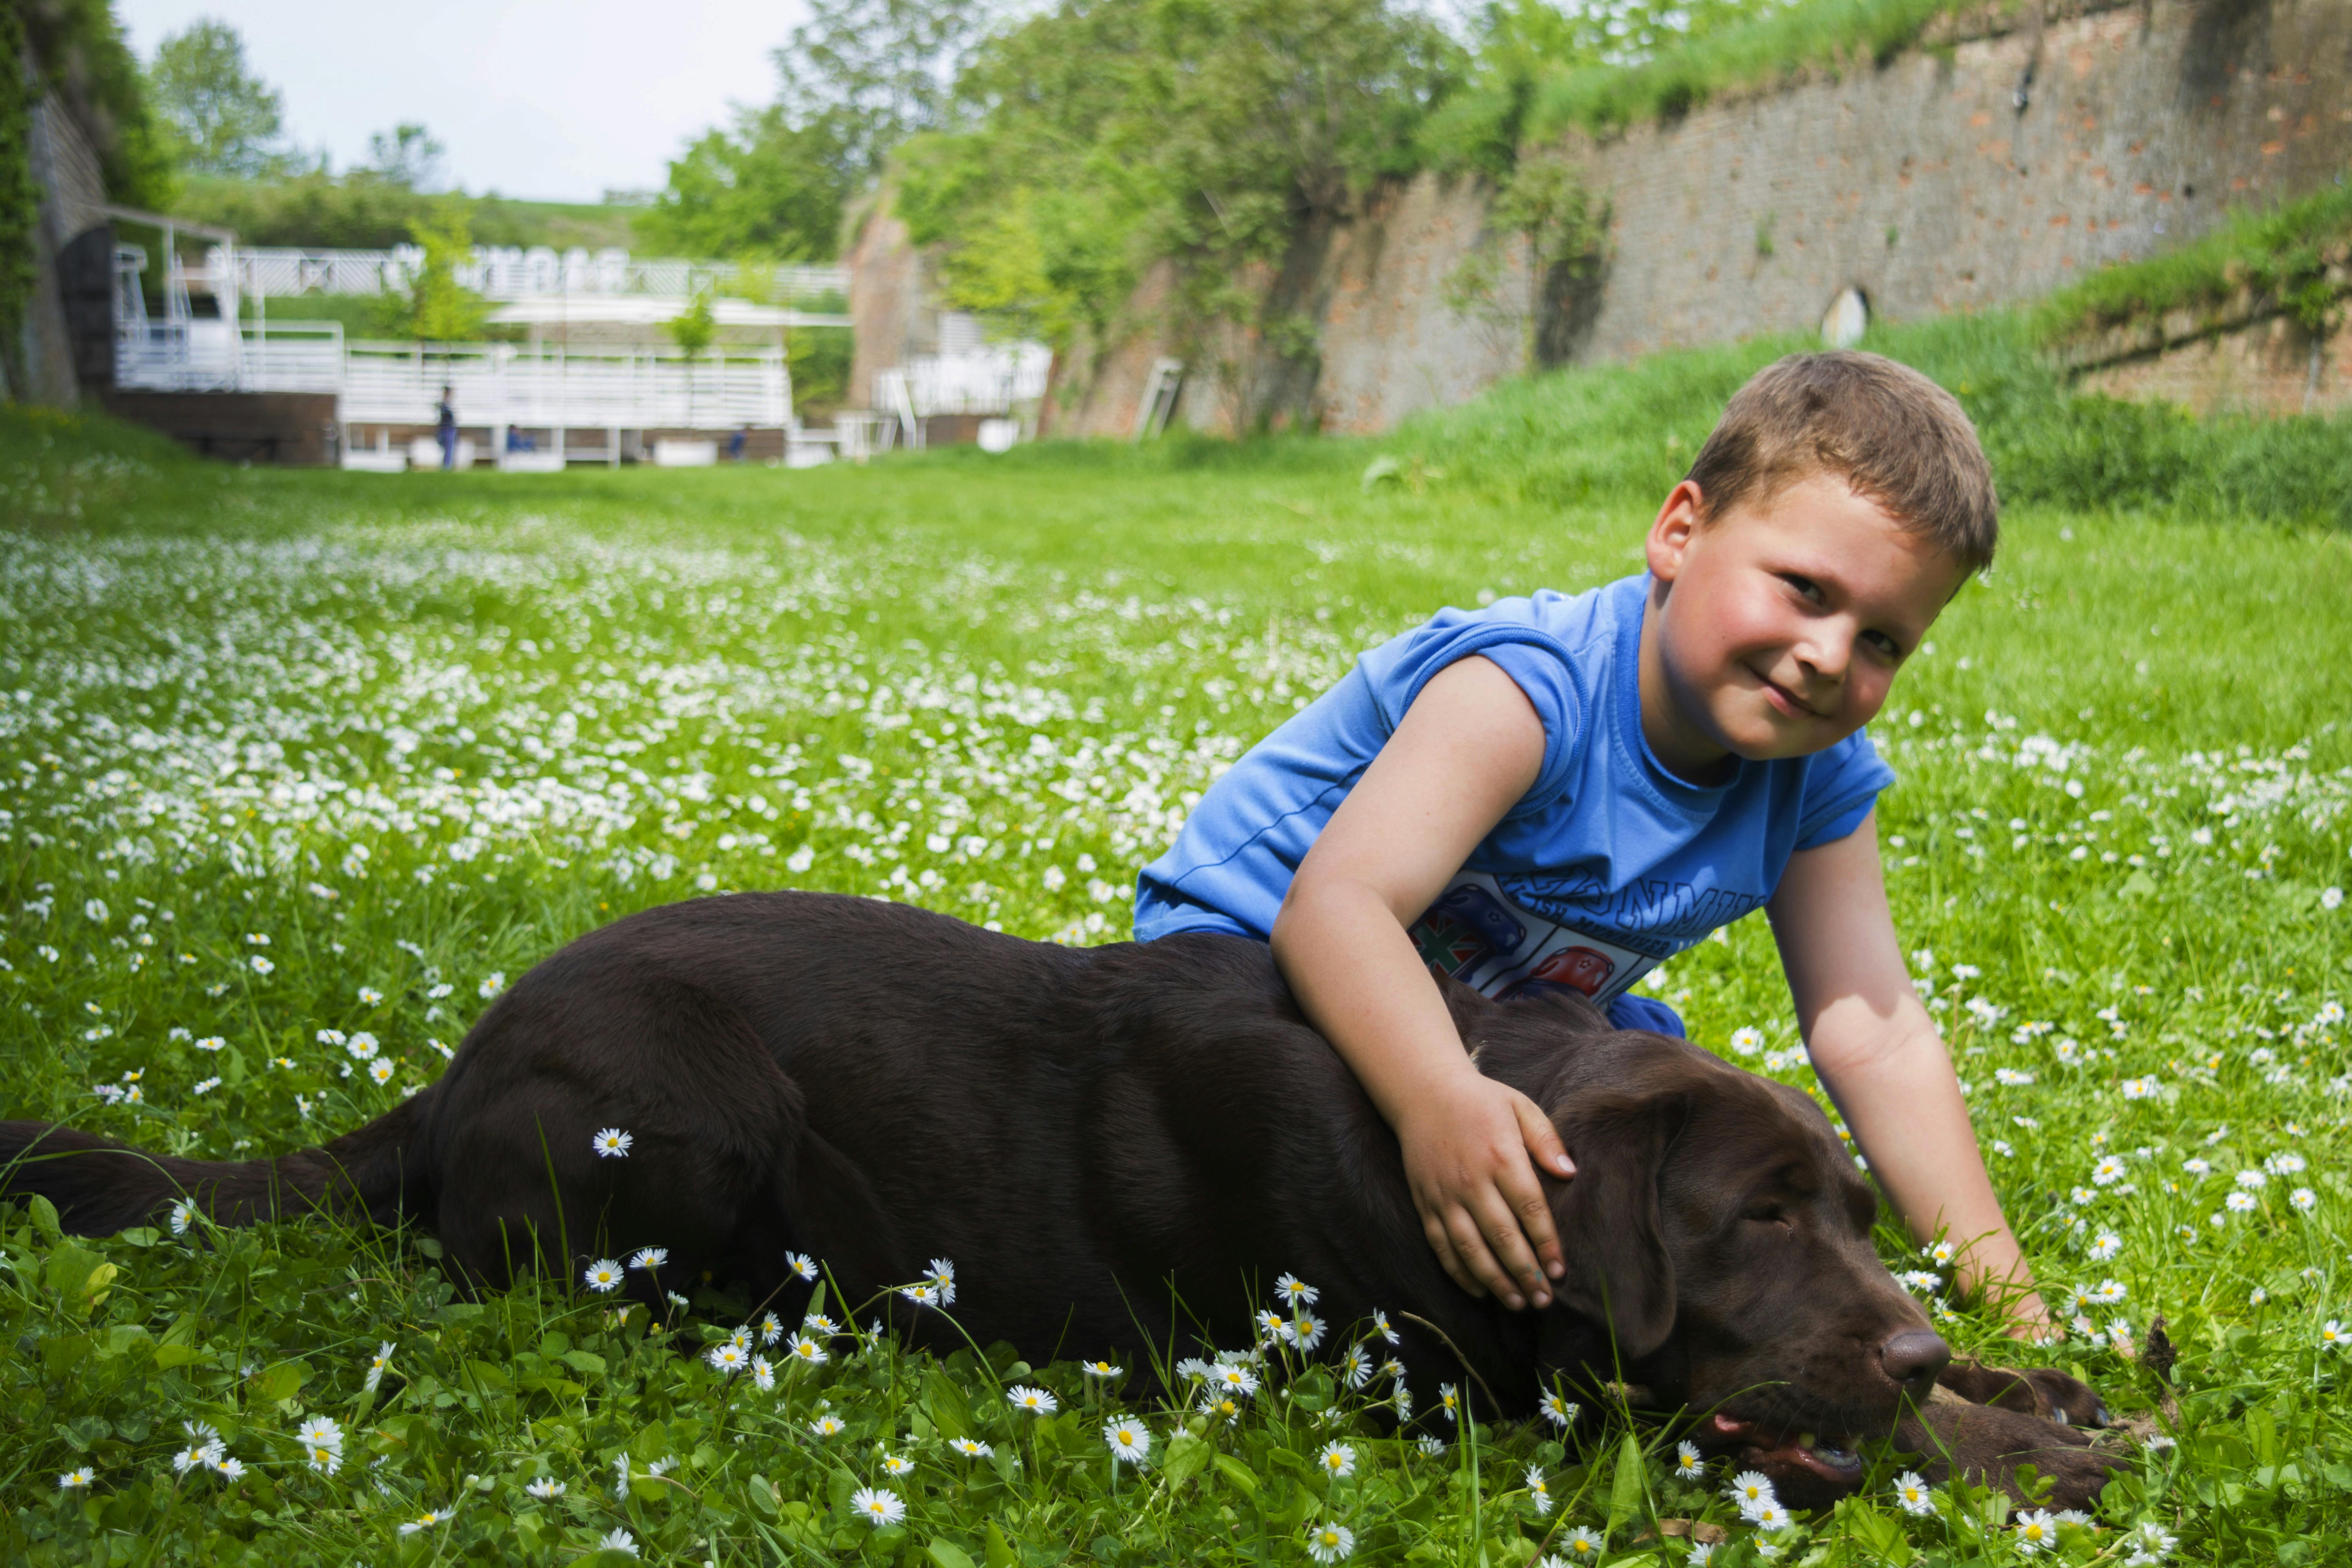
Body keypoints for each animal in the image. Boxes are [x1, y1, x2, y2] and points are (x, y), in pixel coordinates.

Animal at [0, 888, 2126, 1504]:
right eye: (1751, 1219)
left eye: (1848, 1208)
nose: (1908, 1330)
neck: (1457, 1095)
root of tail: (455, 1062)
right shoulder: (1466, 1397)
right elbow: (1766, 1424)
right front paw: (2028, 1443)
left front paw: (2045, 1380)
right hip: (689, 1102)